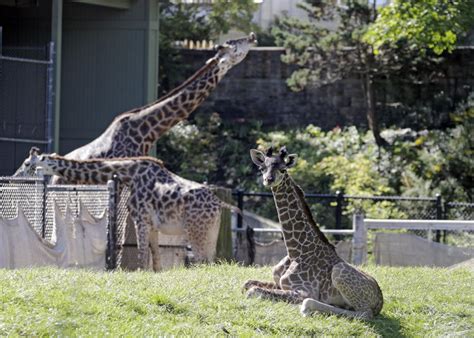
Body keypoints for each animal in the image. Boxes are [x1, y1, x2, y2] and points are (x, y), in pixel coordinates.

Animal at [20, 147, 239, 270]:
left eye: (27, 163)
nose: (17, 174)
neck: (128, 173)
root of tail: (218, 203)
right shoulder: (152, 225)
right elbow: (156, 260)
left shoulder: (140, 218)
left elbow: (142, 256)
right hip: (211, 231)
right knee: (210, 261)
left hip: (195, 231)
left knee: (202, 261)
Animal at [243, 146, 384, 320]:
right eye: (262, 168)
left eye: (283, 169)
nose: (268, 179)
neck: (295, 251)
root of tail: (380, 300)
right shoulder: (279, 283)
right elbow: (248, 283)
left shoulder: (303, 291)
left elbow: (253, 291)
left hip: (340, 273)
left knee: (364, 314)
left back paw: (307, 308)